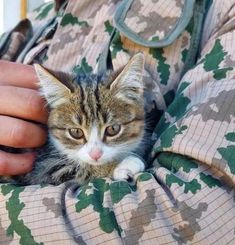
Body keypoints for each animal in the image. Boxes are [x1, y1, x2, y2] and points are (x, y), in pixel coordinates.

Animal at [5, 52, 149, 185]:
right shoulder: (41, 170)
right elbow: (77, 168)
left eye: (113, 129)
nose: (95, 155)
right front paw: (120, 166)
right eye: (76, 132)